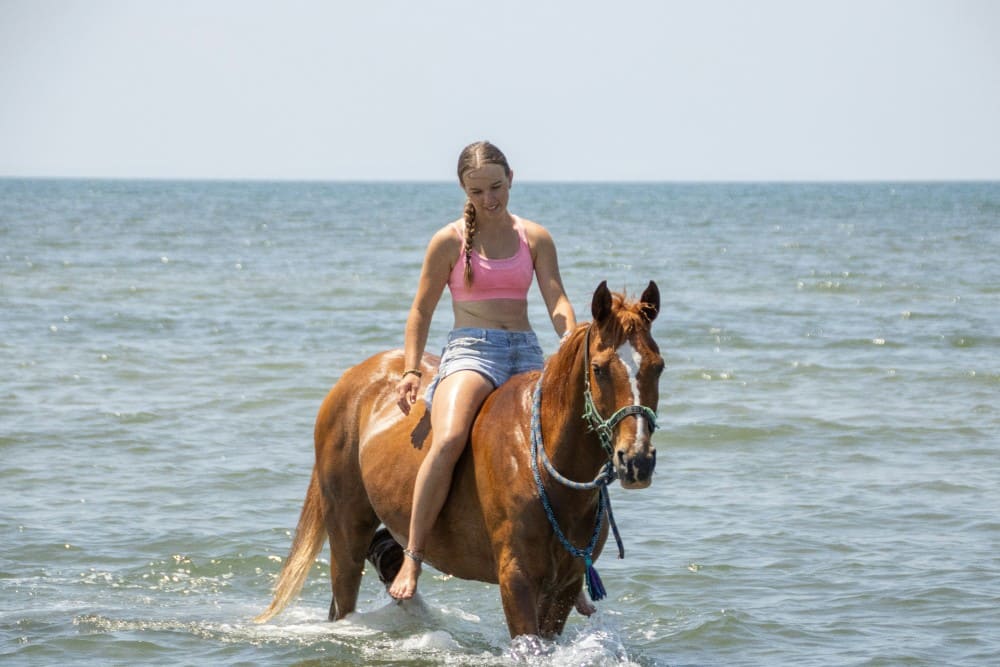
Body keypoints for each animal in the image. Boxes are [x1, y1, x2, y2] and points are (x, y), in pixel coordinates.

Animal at [255, 280, 663, 639]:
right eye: (599, 368)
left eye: (658, 366)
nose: (637, 461)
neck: (544, 467)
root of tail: (353, 378)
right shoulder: (516, 579)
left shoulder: (564, 585)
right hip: (345, 529)